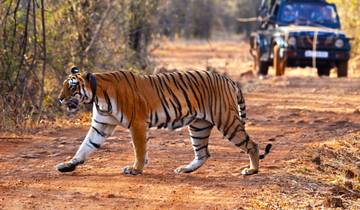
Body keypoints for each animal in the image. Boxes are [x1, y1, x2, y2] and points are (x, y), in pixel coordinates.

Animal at [56, 66, 272, 175]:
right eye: (65, 85)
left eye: (72, 86)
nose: (59, 98)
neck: (97, 95)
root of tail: (227, 79)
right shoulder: (101, 125)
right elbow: (85, 146)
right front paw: (68, 165)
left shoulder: (137, 123)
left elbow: (139, 149)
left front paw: (135, 169)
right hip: (199, 126)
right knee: (203, 153)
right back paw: (185, 169)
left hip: (226, 120)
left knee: (252, 144)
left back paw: (252, 170)